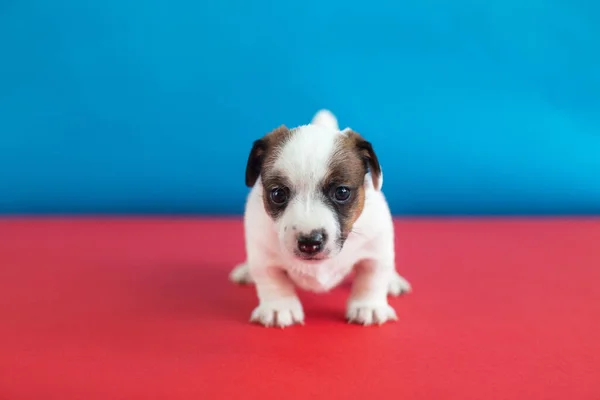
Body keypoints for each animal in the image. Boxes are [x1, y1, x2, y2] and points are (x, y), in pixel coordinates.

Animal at [230, 110, 412, 328]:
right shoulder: (263, 256)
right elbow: (272, 280)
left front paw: (369, 307)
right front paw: (278, 308)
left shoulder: (375, 250)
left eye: (342, 192)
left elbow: (372, 278)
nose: (309, 242)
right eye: (278, 194)